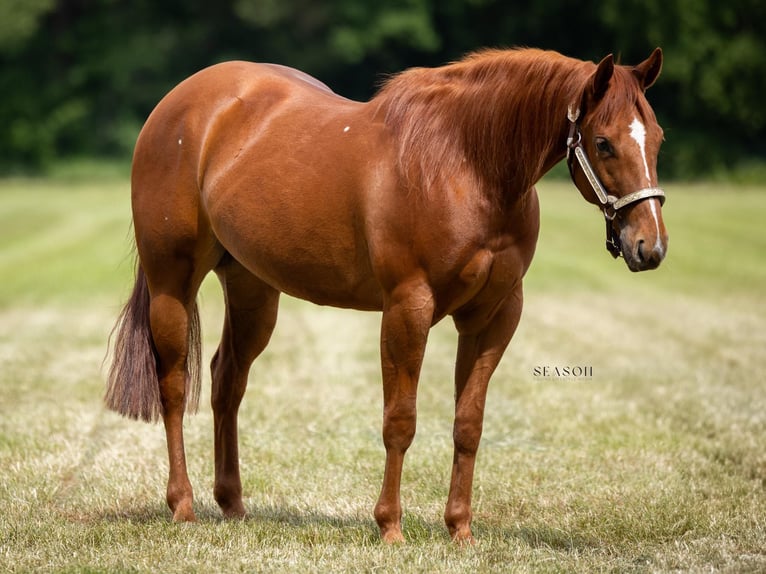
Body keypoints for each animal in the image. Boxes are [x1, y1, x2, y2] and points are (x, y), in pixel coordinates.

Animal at [106, 47, 668, 544]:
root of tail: (180, 103)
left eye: (657, 139)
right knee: (175, 385)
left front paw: (459, 530)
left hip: (252, 288)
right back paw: (183, 505)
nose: (651, 246)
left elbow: (469, 423)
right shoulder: (407, 307)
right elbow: (400, 420)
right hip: (172, 282)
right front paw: (390, 527)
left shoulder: (494, 315)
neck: (463, 163)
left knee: (227, 381)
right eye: (603, 142)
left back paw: (233, 504)